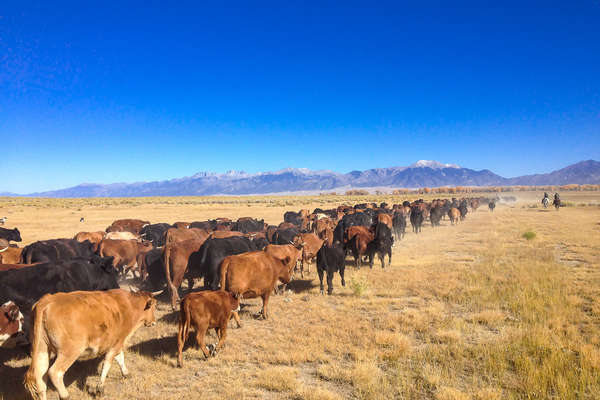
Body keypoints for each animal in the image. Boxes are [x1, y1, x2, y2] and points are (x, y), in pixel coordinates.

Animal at [25, 290, 157, 400]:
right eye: (154, 307)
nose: (154, 322)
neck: (130, 305)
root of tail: (46, 301)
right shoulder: (117, 342)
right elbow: (107, 363)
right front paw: (100, 390)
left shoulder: (115, 344)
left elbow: (120, 358)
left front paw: (126, 374)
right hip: (69, 352)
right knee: (54, 372)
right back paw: (65, 395)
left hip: (42, 350)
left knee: (40, 378)